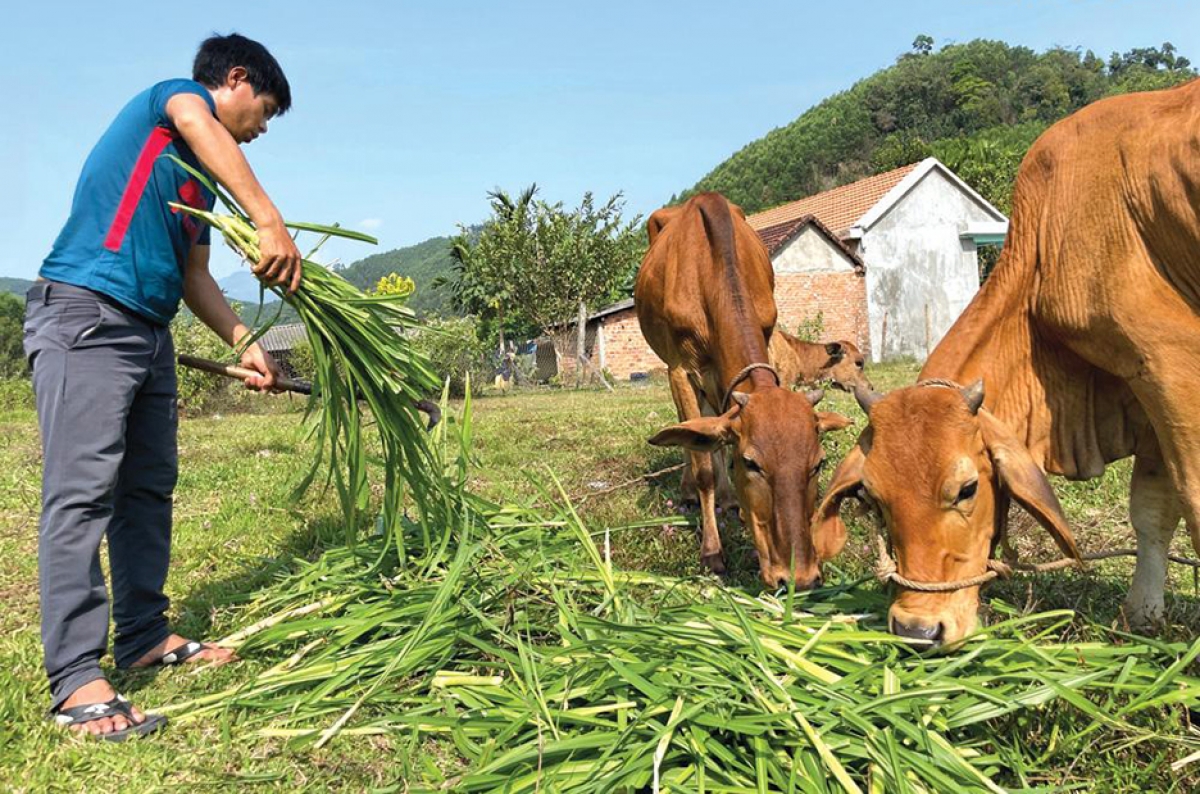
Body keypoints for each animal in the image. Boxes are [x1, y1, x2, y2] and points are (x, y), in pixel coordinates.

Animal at [633, 194, 849, 590]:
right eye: (750, 463)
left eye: (818, 463)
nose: (799, 578)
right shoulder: (680, 369)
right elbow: (702, 461)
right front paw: (712, 553)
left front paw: (730, 501)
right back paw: (690, 493)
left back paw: (729, 500)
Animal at [811, 82, 1200, 647]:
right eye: (873, 499)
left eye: (967, 489)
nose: (917, 629)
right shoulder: (1147, 397)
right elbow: (1152, 513)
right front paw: (1143, 616)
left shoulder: (1174, 367)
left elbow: (1194, 504)